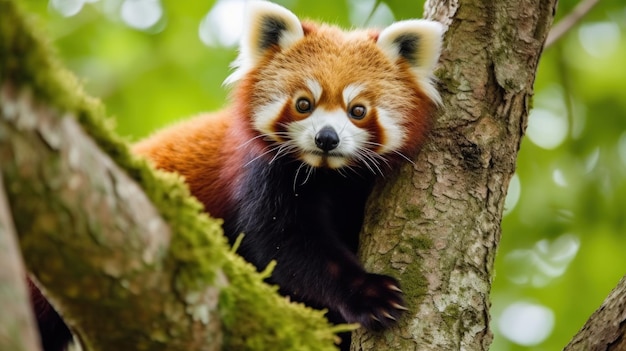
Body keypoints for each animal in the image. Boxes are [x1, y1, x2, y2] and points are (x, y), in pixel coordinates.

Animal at [30, 0, 438, 351]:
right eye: (303, 104)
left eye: (358, 110)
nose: (326, 138)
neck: (328, 175)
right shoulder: (262, 177)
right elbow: (287, 249)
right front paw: (368, 294)